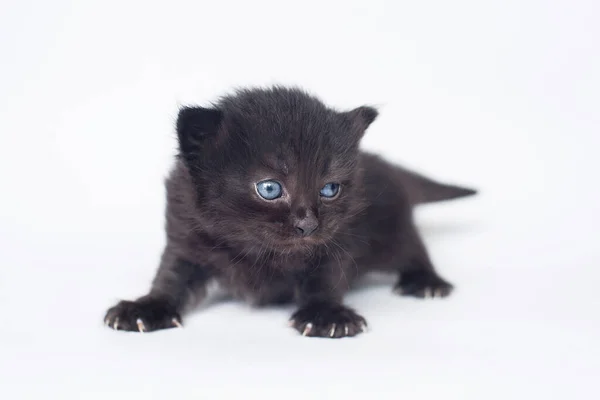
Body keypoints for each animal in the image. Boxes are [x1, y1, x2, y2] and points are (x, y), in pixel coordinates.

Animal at [104, 86, 478, 340]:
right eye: (270, 189)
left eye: (330, 189)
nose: (308, 224)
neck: (257, 250)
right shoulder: (185, 235)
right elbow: (171, 276)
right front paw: (147, 307)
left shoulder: (341, 239)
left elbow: (326, 276)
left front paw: (327, 314)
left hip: (394, 230)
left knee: (414, 250)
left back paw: (426, 282)